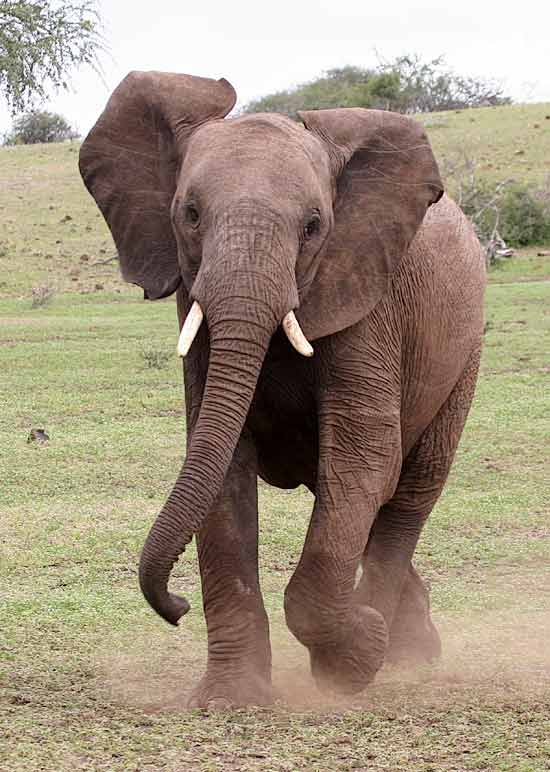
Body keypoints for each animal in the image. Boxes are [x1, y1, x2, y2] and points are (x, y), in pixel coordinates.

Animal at [80, 71, 486, 704]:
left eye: (314, 226)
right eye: (189, 213)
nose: (176, 607)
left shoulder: (365, 293)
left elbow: (364, 455)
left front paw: (351, 663)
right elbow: (220, 466)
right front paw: (230, 700)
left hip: (463, 351)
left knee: (409, 492)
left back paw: (395, 652)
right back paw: (409, 645)